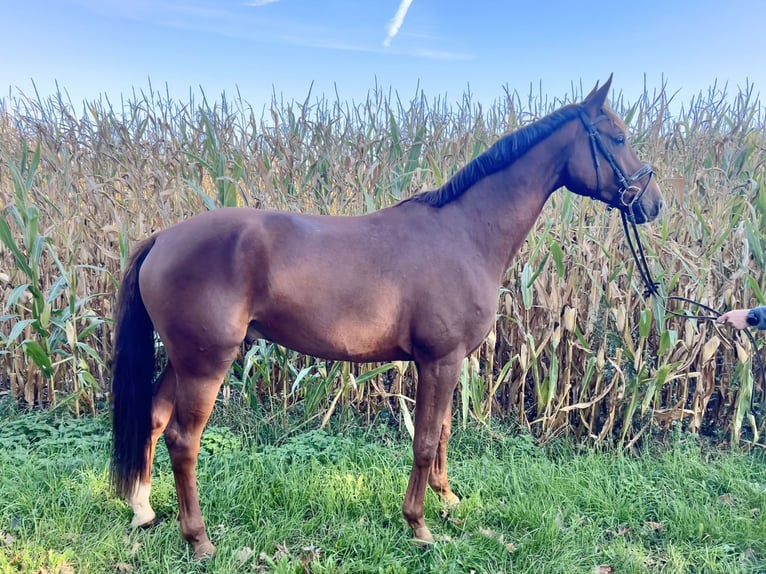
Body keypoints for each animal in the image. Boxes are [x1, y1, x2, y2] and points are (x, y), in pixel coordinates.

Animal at [110, 76, 663, 559]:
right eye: (618, 137)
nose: (652, 203)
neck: (464, 234)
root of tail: (162, 238)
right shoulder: (439, 360)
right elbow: (424, 439)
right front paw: (418, 525)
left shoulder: (447, 362)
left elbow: (443, 432)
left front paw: (448, 501)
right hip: (206, 363)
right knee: (184, 440)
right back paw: (200, 540)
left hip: (184, 360)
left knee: (154, 419)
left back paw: (144, 511)